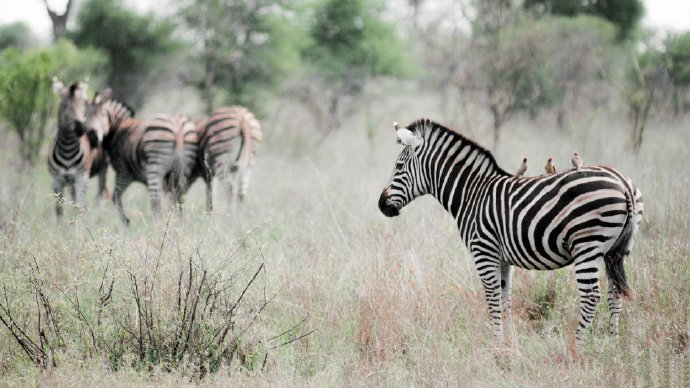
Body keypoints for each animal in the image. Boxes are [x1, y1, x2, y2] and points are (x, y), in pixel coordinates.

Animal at [47, 79, 108, 218]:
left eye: (82, 106)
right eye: (65, 106)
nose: (81, 129)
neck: (67, 149)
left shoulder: (81, 178)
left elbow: (80, 207)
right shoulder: (57, 180)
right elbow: (59, 210)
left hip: (103, 168)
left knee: (102, 195)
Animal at [82, 89, 199, 223]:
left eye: (101, 114)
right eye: (85, 115)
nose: (92, 134)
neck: (117, 129)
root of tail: (177, 125)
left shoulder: (124, 172)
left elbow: (115, 196)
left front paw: (126, 222)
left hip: (154, 166)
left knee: (156, 203)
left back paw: (156, 225)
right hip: (183, 168)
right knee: (178, 199)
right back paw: (179, 224)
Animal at [376, 119, 640, 342]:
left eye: (399, 166)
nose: (381, 205)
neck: (472, 194)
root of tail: (623, 184)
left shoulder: (484, 253)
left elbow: (493, 300)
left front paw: (497, 347)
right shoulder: (502, 259)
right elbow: (506, 300)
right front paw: (510, 345)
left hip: (587, 245)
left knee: (591, 297)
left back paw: (577, 348)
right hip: (617, 251)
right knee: (615, 293)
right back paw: (612, 344)